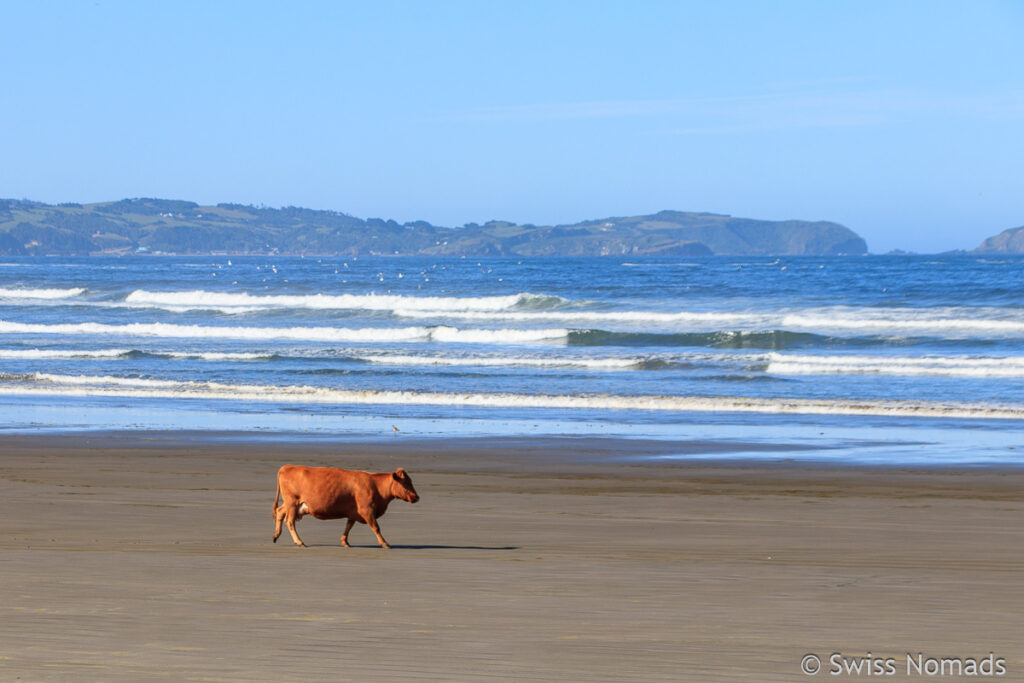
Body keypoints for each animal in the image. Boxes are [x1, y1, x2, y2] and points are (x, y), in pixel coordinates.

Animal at [272, 464, 419, 548]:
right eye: (406, 483)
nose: (416, 497)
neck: (375, 485)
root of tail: (288, 466)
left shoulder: (354, 512)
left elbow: (348, 526)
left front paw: (345, 542)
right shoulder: (366, 510)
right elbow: (376, 527)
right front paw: (385, 543)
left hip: (293, 504)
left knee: (279, 512)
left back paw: (276, 535)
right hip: (292, 503)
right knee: (290, 521)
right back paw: (299, 542)